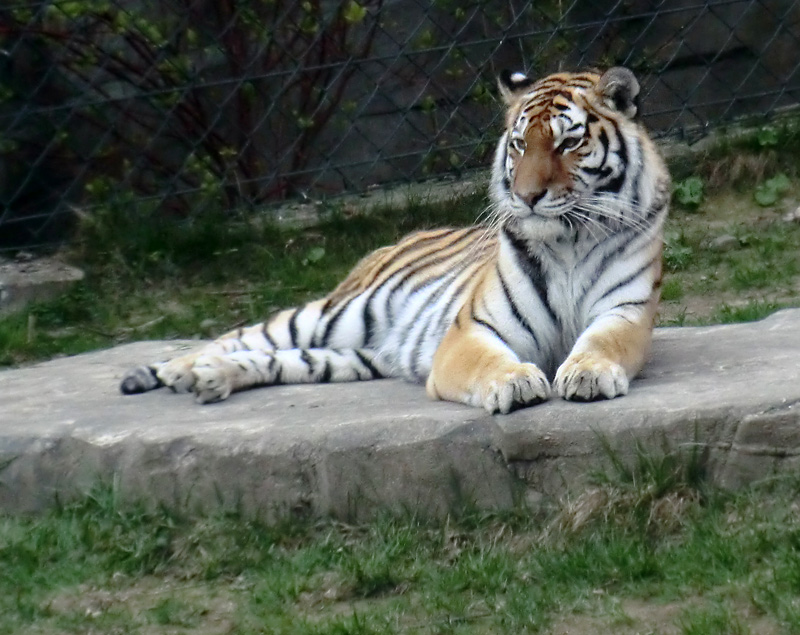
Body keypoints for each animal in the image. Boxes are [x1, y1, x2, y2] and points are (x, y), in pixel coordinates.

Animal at [120, 67, 668, 414]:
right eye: (518, 144)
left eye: (568, 142)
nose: (526, 197)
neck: (567, 241)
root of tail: (397, 239)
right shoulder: (472, 330)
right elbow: (491, 360)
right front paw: (515, 382)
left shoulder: (625, 311)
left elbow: (601, 341)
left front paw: (589, 372)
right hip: (330, 315)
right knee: (240, 335)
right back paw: (184, 370)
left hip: (345, 356)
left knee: (276, 359)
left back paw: (212, 377)